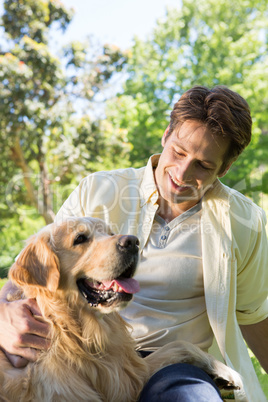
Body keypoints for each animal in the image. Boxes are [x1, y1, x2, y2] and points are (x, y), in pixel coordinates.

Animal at [0, 218, 245, 400]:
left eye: (110, 233)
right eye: (80, 238)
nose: (132, 242)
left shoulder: (126, 377)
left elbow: (179, 345)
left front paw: (225, 372)